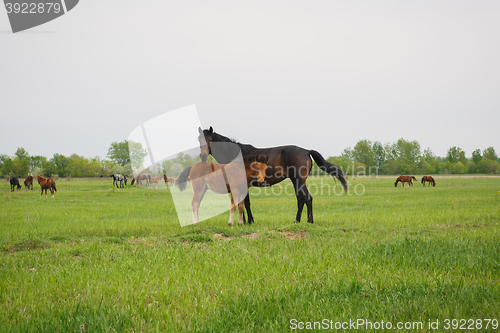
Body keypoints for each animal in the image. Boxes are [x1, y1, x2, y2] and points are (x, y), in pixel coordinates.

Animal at [197, 126, 346, 223]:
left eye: (209, 139)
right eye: (199, 139)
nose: (203, 156)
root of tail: (306, 151)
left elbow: (245, 203)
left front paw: (246, 222)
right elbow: (244, 203)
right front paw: (248, 221)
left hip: (298, 180)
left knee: (307, 198)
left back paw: (310, 221)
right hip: (296, 181)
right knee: (301, 200)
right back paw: (297, 221)